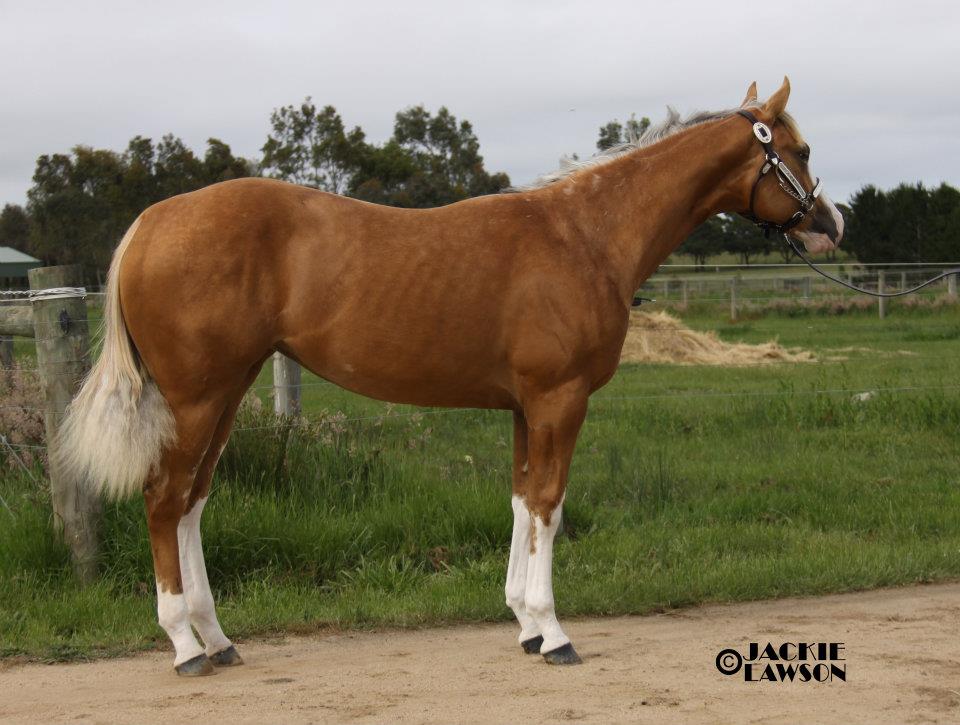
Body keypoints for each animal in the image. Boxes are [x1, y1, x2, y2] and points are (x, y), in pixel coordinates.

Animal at [57, 78, 844, 675]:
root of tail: (151, 222)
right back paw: (185, 645)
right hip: (196, 397)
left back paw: (218, 638)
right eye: (800, 151)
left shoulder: (527, 406)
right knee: (164, 500)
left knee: (192, 503)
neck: (585, 235)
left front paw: (525, 623)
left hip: (224, 393)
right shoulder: (559, 400)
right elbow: (550, 505)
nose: (831, 225)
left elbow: (524, 503)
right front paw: (555, 633)